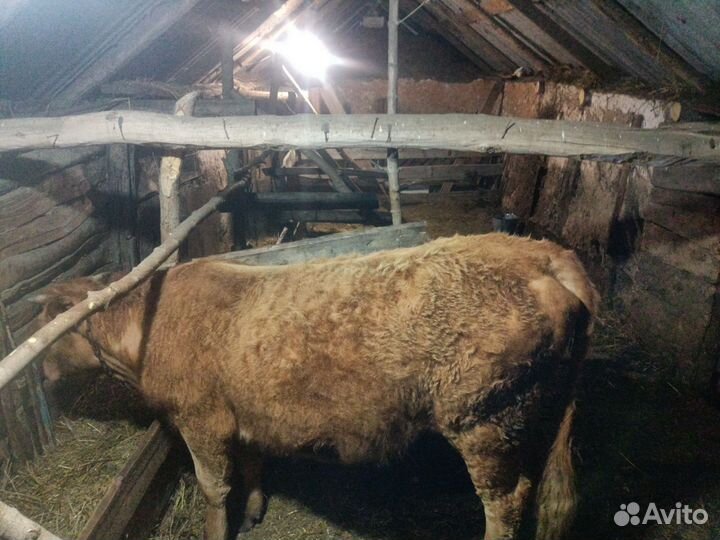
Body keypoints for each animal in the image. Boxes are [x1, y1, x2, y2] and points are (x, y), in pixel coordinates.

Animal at [33, 233, 599, 540]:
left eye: (48, 325)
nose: (40, 375)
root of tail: (546, 255)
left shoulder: (201, 420)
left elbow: (214, 488)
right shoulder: (246, 413)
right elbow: (253, 462)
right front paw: (255, 509)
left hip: (486, 423)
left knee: (505, 502)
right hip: (531, 418)